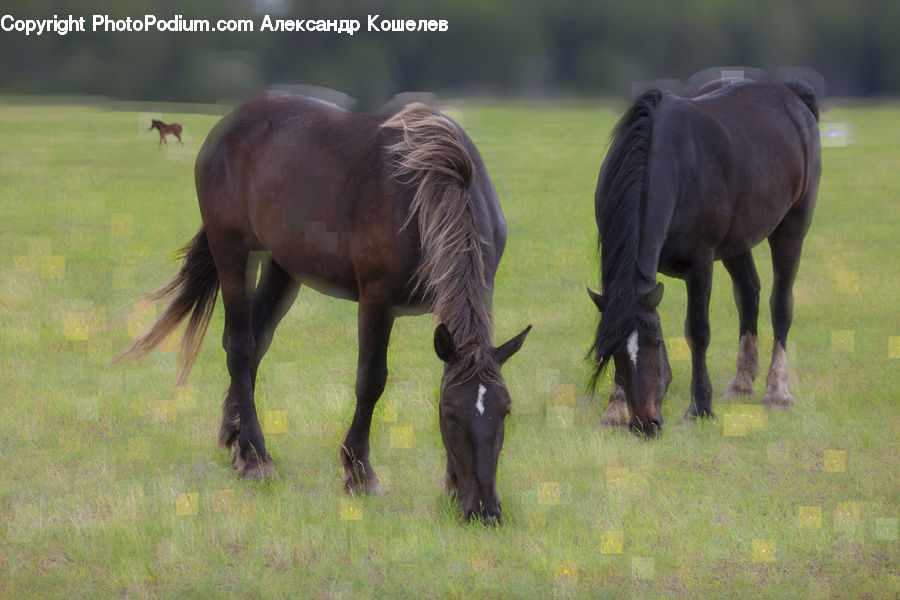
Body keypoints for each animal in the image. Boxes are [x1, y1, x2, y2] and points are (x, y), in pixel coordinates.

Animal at [121, 96, 528, 524]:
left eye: (505, 411)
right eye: (449, 413)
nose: (485, 510)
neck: (431, 188)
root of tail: (229, 123)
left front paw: (448, 485)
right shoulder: (377, 300)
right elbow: (371, 382)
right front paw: (359, 473)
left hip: (283, 266)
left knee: (256, 343)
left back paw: (236, 440)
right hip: (232, 250)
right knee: (240, 347)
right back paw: (256, 458)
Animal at [592, 79, 824, 436]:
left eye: (656, 343)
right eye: (614, 351)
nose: (646, 424)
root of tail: (793, 95)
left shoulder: (700, 263)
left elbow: (698, 331)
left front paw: (700, 407)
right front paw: (616, 407)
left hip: (792, 226)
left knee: (780, 303)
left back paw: (777, 391)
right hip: (737, 242)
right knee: (749, 294)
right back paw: (742, 383)